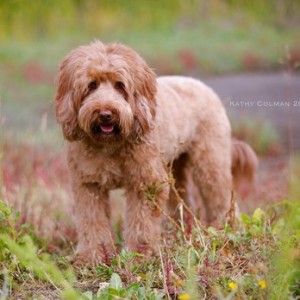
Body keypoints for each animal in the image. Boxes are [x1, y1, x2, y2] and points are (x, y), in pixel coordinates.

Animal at [55, 40, 256, 264]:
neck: (111, 143)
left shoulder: (147, 183)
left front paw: (138, 255)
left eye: (120, 85)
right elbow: (92, 222)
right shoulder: (89, 185)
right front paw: (93, 256)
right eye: (91, 85)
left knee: (220, 195)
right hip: (175, 169)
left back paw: (226, 229)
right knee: (182, 201)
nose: (106, 114)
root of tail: (202, 85)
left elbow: (142, 223)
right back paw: (180, 232)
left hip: (210, 161)